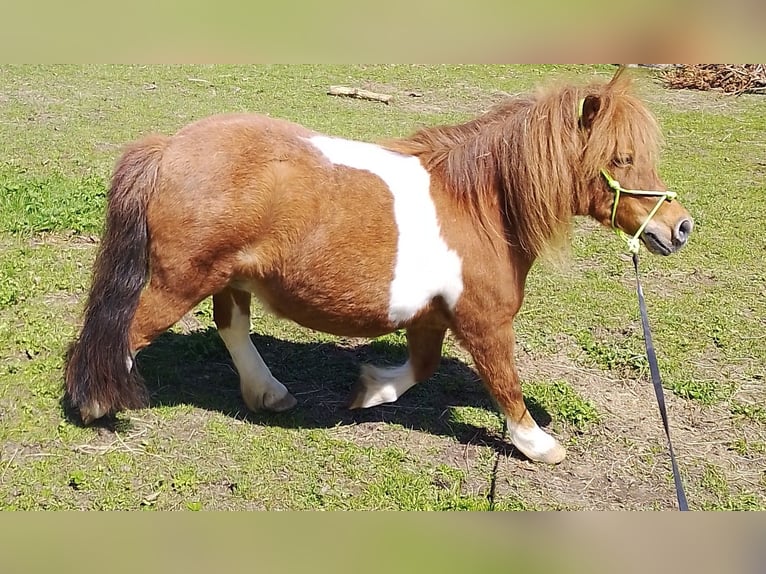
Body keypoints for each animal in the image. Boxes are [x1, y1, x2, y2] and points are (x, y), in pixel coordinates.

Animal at [64, 68, 696, 464]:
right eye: (622, 158)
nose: (679, 227)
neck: (479, 203)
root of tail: (169, 146)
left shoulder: (430, 317)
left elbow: (421, 367)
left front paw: (367, 391)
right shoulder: (485, 321)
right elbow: (503, 382)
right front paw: (538, 444)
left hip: (229, 276)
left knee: (232, 327)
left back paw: (269, 394)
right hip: (179, 282)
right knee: (127, 332)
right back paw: (95, 402)